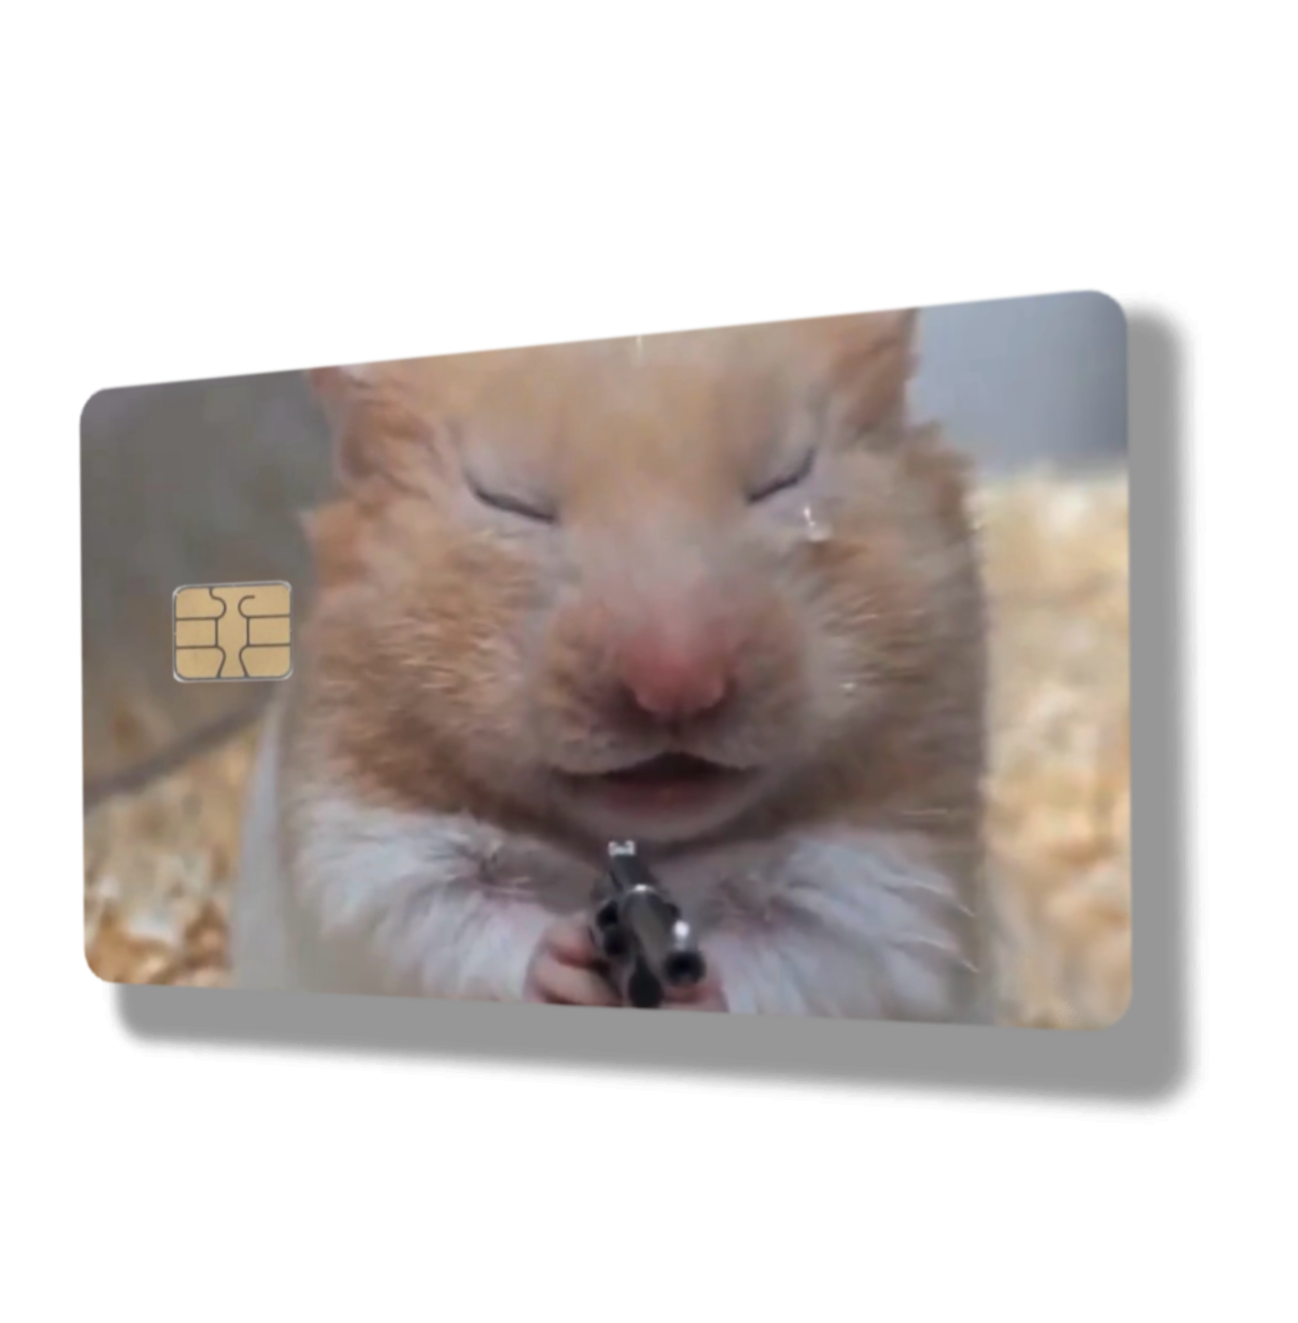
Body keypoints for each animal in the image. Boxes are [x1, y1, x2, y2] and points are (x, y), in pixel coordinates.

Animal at [232, 309, 997, 1025]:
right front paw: (563, 961)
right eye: (507, 500)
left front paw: (696, 987)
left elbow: (809, 952)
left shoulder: (888, 883)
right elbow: (446, 920)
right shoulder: (364, 847)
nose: (677, 686)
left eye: (786, 478)